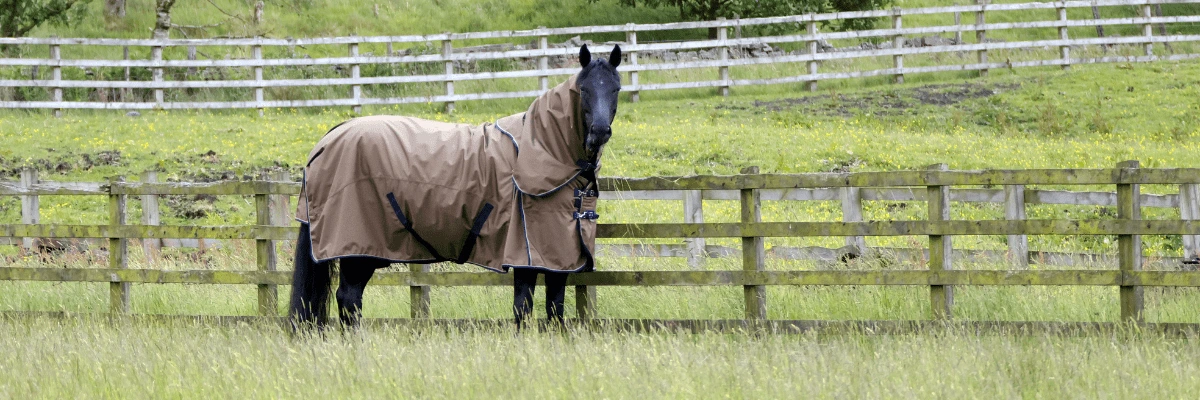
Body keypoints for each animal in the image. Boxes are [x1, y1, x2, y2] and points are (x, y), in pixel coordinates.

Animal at [289, 44, 622, 331]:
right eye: (583, 89)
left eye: (616, 89)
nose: (600, 132)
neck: (543, 149)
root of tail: (329, 138)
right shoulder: (525, 256)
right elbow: (522, 308)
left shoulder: (559, 260)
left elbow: (555, 309)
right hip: (358, 250)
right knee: (349, 299)